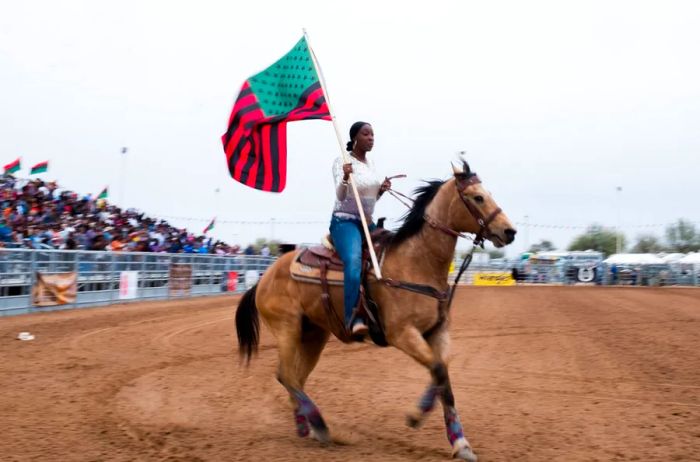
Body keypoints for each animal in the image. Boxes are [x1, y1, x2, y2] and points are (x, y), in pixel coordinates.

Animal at [235, 158, 516, 458]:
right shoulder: (402, 333)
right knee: (287, 375)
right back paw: (321, 427)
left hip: (314, 334)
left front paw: (458, 442)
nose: (509, 231)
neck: (416, 263)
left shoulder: (437, 332)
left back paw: (306, 427)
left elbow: (443, 375)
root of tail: (265, 277)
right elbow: (439, 370)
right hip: (287, 327)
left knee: (294, 377)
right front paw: (417, 418)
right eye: (478, 197)